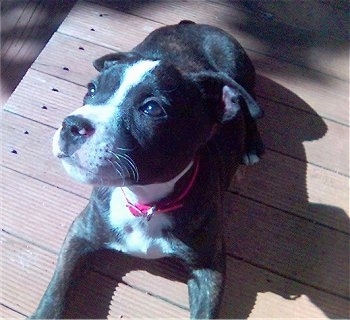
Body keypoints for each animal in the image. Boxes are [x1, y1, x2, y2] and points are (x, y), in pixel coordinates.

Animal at [32, 21, 262, 318]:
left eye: (151, 108)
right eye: (91, 90)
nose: (72, 125)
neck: (144, 201)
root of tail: (189, 24)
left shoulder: (209, 268)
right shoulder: (81, 233)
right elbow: (57, 289)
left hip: (240, 70)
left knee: (250, 109)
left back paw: (252, 145)